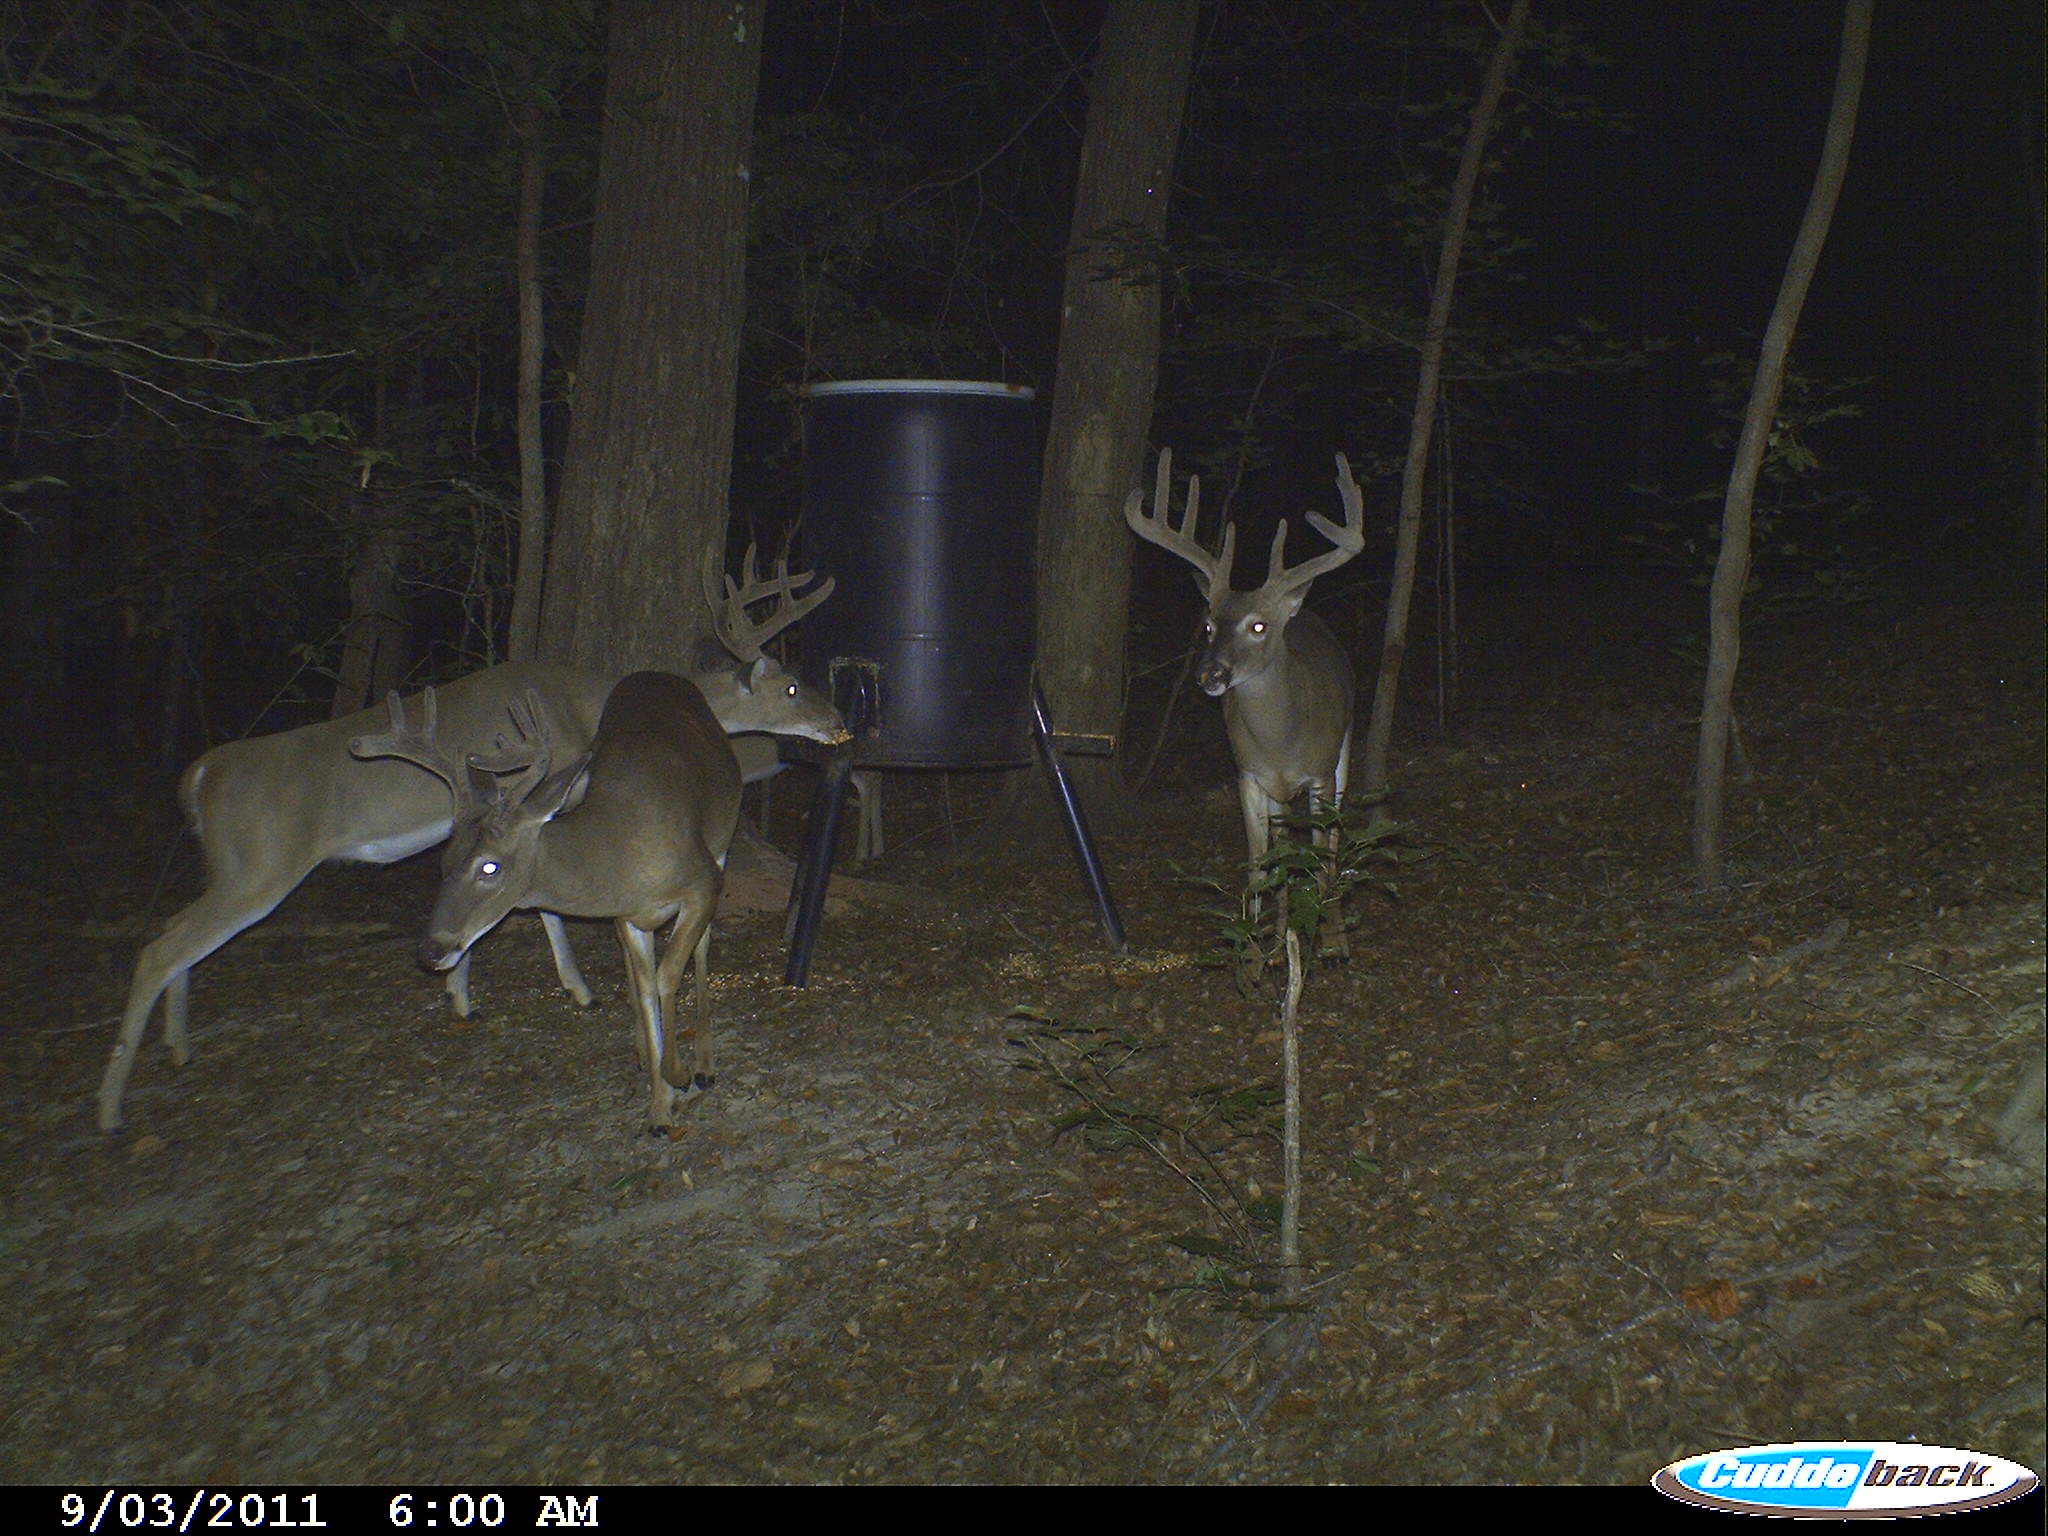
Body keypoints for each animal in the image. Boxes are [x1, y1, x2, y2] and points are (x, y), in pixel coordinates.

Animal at [350, 672, 740, 1132]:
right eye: (443, 861)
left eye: (489, 867)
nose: (430, 951)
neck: (621, 856)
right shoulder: (628, 916)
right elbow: (646, 988)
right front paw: (659, 1106)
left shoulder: (702, 881)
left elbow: (669, 974)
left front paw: (680, 1073)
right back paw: (643, 1052)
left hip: (721, 843)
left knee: (700, 951)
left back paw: (704, 1065)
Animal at [1125, 448, 1366, 954]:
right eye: (1208, 624)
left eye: (1258, 625)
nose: (1210, 674)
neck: (1281, 741)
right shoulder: (1248, 774)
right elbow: (1259, 868)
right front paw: (1257, 952)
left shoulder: (1319, 771)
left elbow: (1322, 857)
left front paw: (1330, 944)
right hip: (1275, 792)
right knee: (1282, 846)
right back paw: (1280, 933)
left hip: (1344, 748)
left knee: (1333, 843)